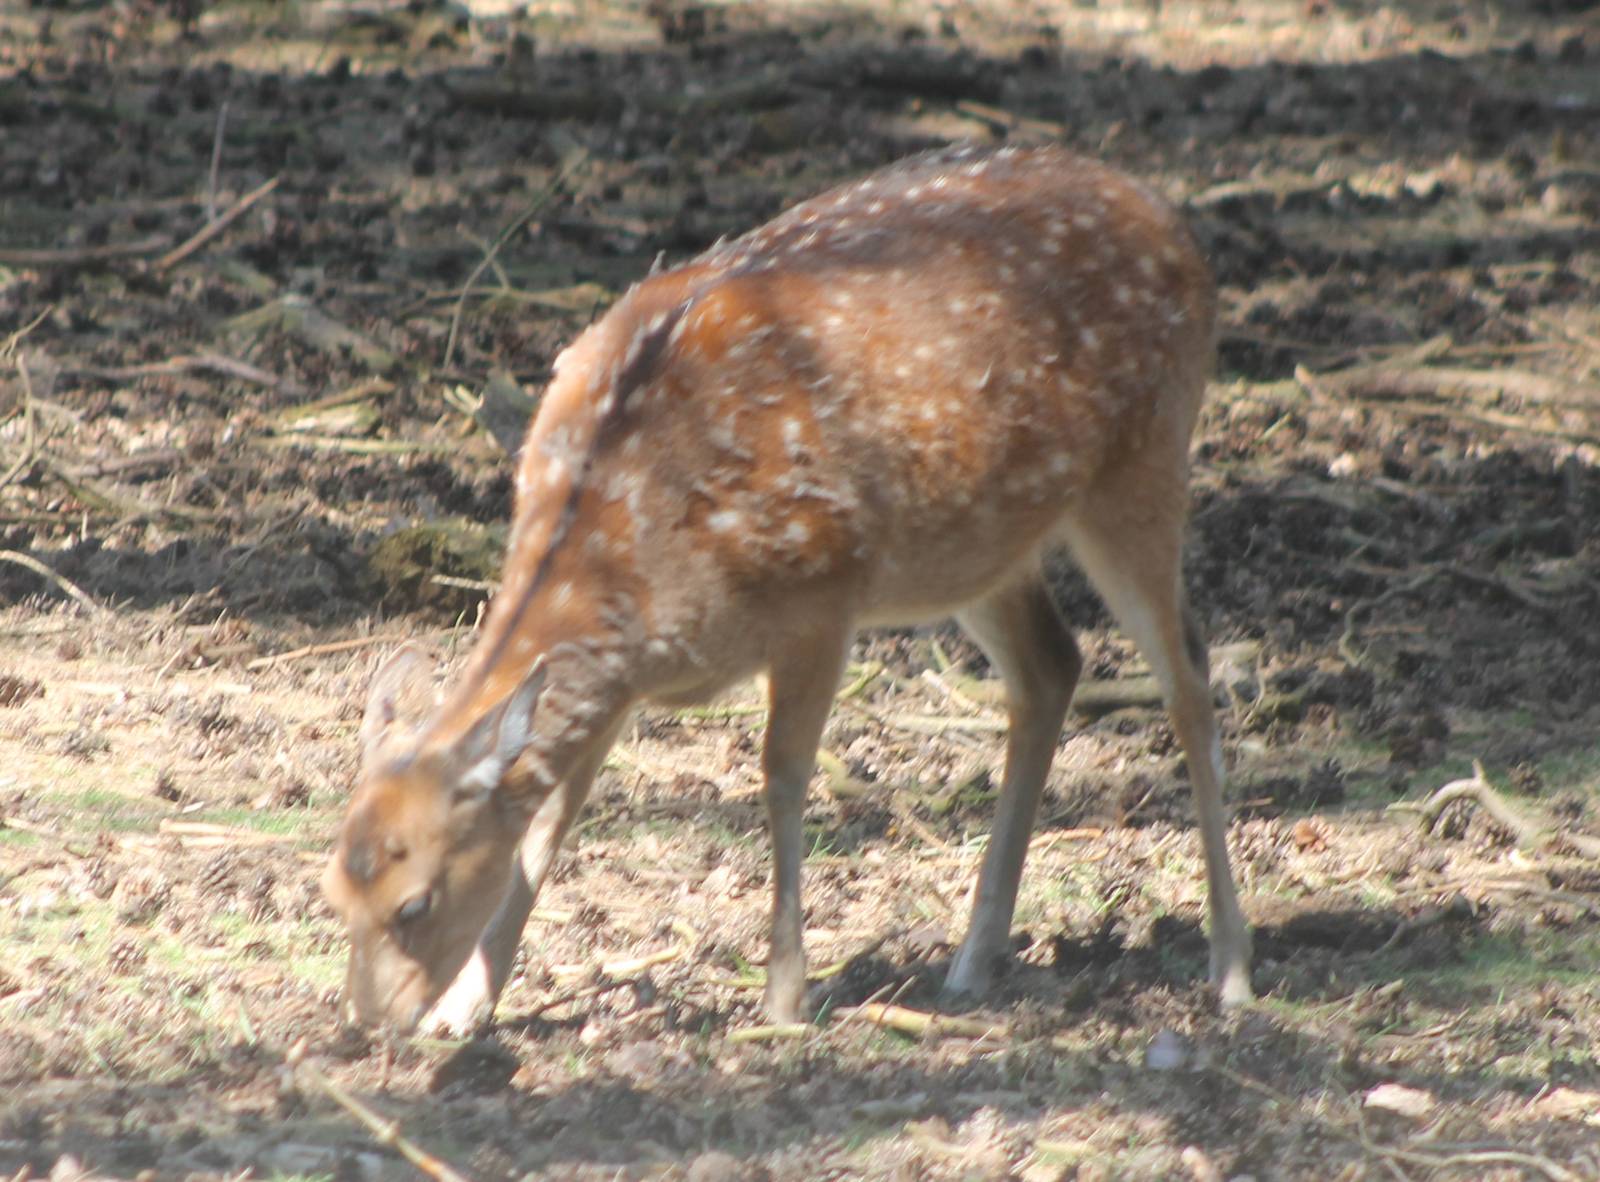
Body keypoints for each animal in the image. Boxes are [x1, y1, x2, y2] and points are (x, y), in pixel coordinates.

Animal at [321, 143, 1254, 1035]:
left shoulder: (822, 594)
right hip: (978, 544)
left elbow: (781, 773)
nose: (371, 1022)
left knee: (1189, 678)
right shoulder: (619, 676)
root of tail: (1175, 223)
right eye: (334, 888)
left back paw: (1231, 968)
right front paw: (467, 1008)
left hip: (1144, 461)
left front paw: (782, 998)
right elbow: (551, 816)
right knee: (1052, 665)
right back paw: (973, 959)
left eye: (415, 902)